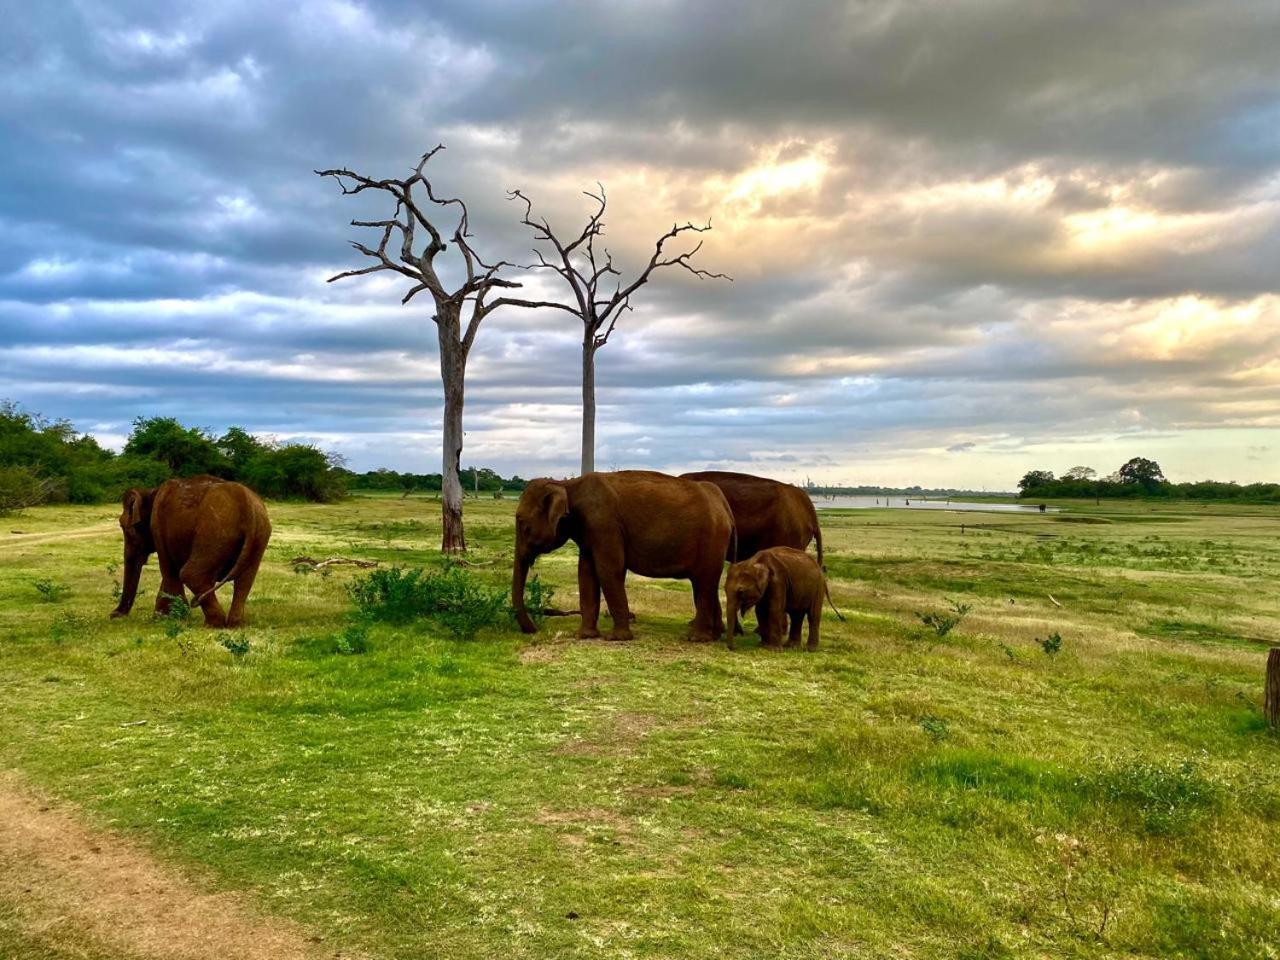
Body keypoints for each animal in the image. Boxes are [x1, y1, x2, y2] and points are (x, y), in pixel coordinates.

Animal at [111, 476, 271, 627]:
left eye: (123, 527)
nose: (114, 615)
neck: (150, 492)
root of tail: (248, 508)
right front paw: (166, 616)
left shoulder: (157, 526)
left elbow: (169, 570)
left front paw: (169, 618)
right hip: (258, 535)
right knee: (245, 580)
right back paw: (234, 624)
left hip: (213, 532)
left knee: (190, 574)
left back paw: (213, 624)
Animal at [506, 473, 732, 647]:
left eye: (522, 524)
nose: (534, 629)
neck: (567, 484)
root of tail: (723, 504)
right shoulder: (589, 532)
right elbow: (586, 572)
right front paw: (585, 635)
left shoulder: (604, 524)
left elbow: (608, 569)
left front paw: (616, 638)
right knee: (705, 584)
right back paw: (713, 636)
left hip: (712, 540)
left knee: (704, 583)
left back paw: (697, 639)